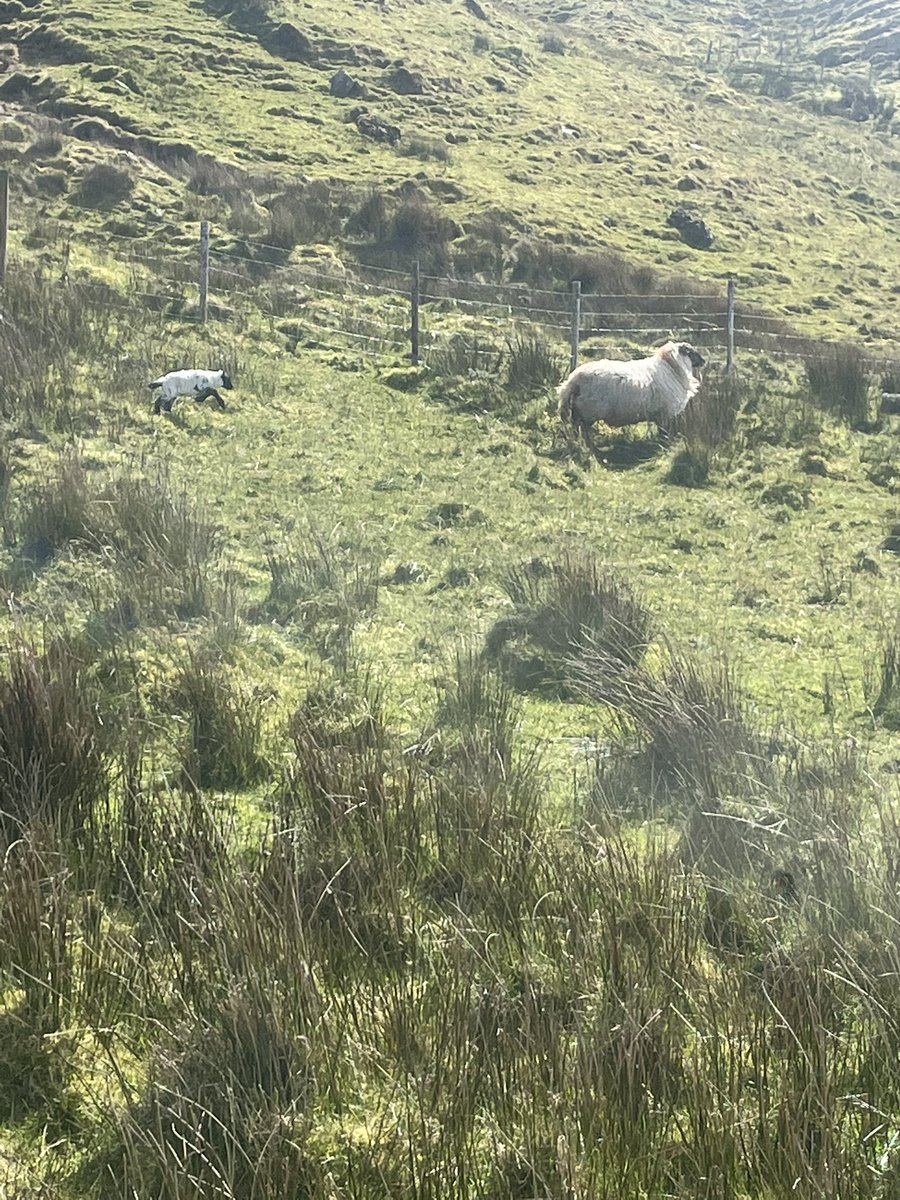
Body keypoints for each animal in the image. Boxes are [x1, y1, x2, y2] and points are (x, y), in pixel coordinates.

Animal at [561, 340, 710, 439]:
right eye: (691, 352)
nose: (704, 361)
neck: (672, 368)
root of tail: (574, 379)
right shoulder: (664, 414)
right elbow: (663, 432)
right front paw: (663, 442)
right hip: (588, 412)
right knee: (580, 430)